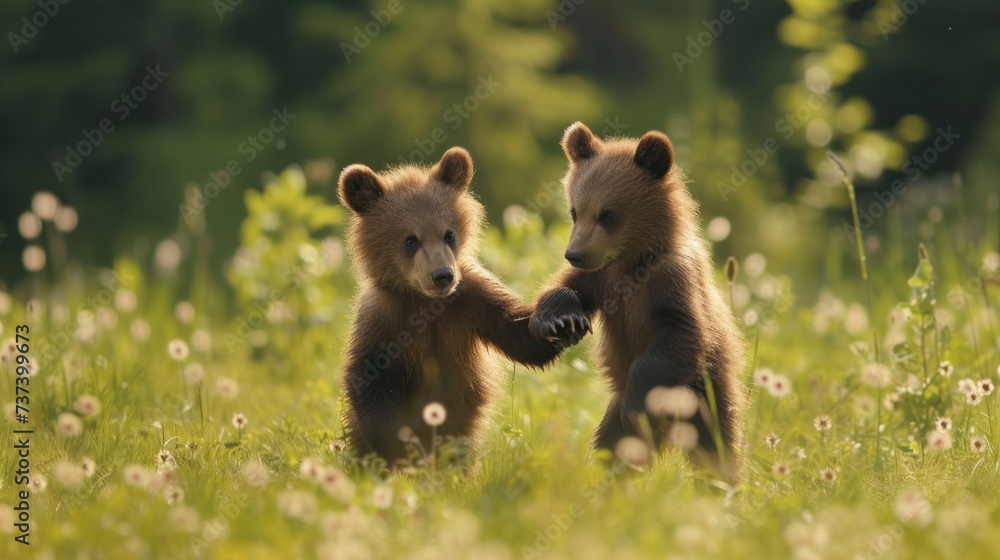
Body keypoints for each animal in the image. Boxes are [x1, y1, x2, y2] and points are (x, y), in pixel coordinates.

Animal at [338, 147, 589, 468]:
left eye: (449, 234)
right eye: (410, 239)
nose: (443, 275)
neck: (424, 301)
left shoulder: (472, 303)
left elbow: (519, 336)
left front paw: (560, 320)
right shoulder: (384, 319)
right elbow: (369, 377)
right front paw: (402, 447)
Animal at [529, 122, 747, 476]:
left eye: (608, 214)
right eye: (575, 211)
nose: (574, 254)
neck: (632, 259)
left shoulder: (672, 284)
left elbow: (682, 335)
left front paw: (639, 402)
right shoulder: (603, 278)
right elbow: (563, 289)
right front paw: (561, 319)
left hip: (708, 395)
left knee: (714, 448)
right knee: (615, 447)